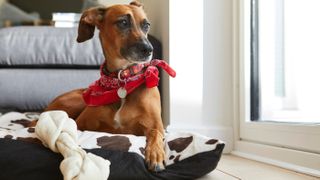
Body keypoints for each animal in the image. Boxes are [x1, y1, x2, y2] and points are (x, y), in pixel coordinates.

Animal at [44, 0, 174, 172]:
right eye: (123, 22)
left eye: (146, 25)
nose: (148, 49)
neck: (122, 80)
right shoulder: (81, 124)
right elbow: (69, 130)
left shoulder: (156, 125)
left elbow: (155, 133)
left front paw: (155, 154)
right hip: (74, 102)